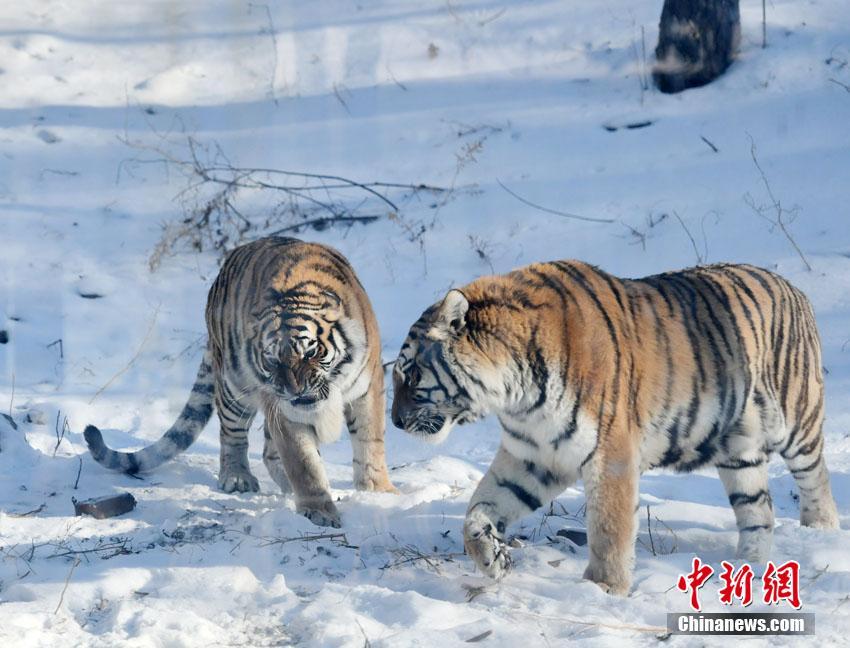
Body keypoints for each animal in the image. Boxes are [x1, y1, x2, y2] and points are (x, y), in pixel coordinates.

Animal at [84, 235, 396, 528]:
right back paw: (237, 477)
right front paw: (318, 510)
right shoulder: (284, 408)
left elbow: (370, 440)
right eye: (272, 360)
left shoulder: (368, 387)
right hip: (235, 389)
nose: (294, 391)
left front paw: (378, 491)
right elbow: (304, 462)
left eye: (309, 352)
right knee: (233, 436)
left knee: (270, 452)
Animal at [392, 260, 840, 596]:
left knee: (816, 477)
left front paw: (603, 588)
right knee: (758, 509)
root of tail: (794, 289)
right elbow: (477, 510)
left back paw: (819, 530)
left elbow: (609, 527)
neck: (516, 395)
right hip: (737, 449)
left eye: (410, 375)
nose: (394, 421)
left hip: (797, 422)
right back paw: (747, 568)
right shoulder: (532, 457)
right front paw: (493, 561)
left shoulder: (610, 454)